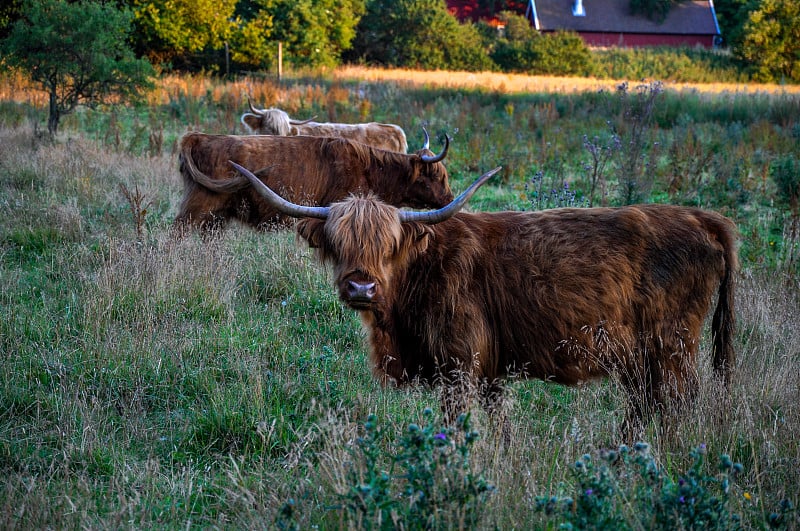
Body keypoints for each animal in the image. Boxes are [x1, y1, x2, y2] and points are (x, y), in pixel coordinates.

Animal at [174, 132, 450, 232]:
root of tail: (200, 136)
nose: (449, 198)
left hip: (217, 218)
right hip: (198, 207)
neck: (371, 170)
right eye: (437, 176)